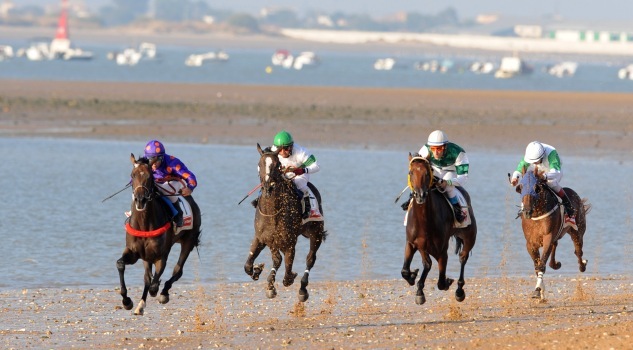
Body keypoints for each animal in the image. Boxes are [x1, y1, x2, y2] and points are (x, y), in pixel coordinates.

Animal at [115, 153, 201, 314]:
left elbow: (154, 283)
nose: (140, 200)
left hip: (189, 241)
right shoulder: (134, 252)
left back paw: (164, 293)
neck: (144, 224)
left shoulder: (161, 255)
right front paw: (127, 301)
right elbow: (121, 265)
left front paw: (156, 292)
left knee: (177, 270)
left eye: (150, 176)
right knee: (147, 276)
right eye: (132, 175)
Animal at [244, 144, 328, 302]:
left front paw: (278, 281)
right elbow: (250, 264)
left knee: (310, 259)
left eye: (277, 165)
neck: (273, 213)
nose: (268, 187)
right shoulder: (264, 238)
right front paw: (259, 271)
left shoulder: (289, 242)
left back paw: (302, 290)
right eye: (260, 164)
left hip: (316, 233)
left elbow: (286, 269)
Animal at [402, 154, 476, 304]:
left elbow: (439, 279)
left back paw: (459, 290)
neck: (424, 221)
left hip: (470, 236)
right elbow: (407, 270)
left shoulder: (441, 249)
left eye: (427, 173)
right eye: (411, 172)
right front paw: (413, 277)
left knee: (463, 258)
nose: (420, 195)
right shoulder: (413, 243)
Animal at [516, 165, 592, 300]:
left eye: (537, 188)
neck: (537, 214)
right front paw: (540, 291)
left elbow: (541, 264)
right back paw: (556, 264)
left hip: (577, 231)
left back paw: (582, 265)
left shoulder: (548, 236)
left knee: (578, 251)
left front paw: (538, 290)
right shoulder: (530, 243)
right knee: (555, 246)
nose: (527, 212)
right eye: (521, 187)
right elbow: (537, 265)